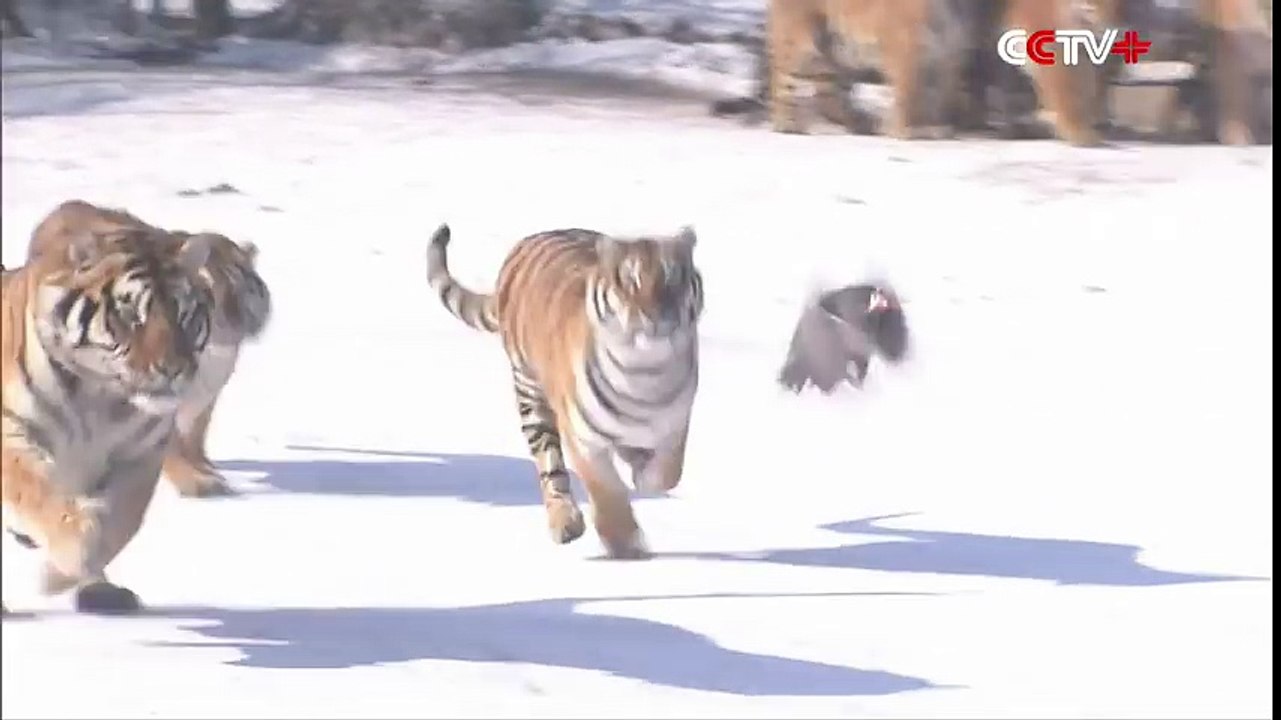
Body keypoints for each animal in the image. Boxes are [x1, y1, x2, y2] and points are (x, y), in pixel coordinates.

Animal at [1, 226, 215, 615]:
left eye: (184, 315)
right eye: (131, 314)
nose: (173, 369)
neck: (98, 396)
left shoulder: (141, 453)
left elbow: (122, 523)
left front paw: (60, 575)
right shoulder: (13, 434)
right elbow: (40, 495)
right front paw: (66, 561)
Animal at [27, 200, 272, 499]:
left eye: (239, 285)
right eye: (210, 286)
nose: (232, 321)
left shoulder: (205, 398)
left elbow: (195, 435)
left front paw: (203, 466)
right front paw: (195, 480)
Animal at [426, 224, 704, 560]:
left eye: (673, 277)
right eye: (629, 280)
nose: (656, 315)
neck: (645, 372)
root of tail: (531, 239)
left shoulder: (674, 427)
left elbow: (667, 474)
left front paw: (643, 476)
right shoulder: (582, 438)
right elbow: (606, 490)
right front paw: (625, 544)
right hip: (531, 396)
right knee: (550, 468)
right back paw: (565, 523)